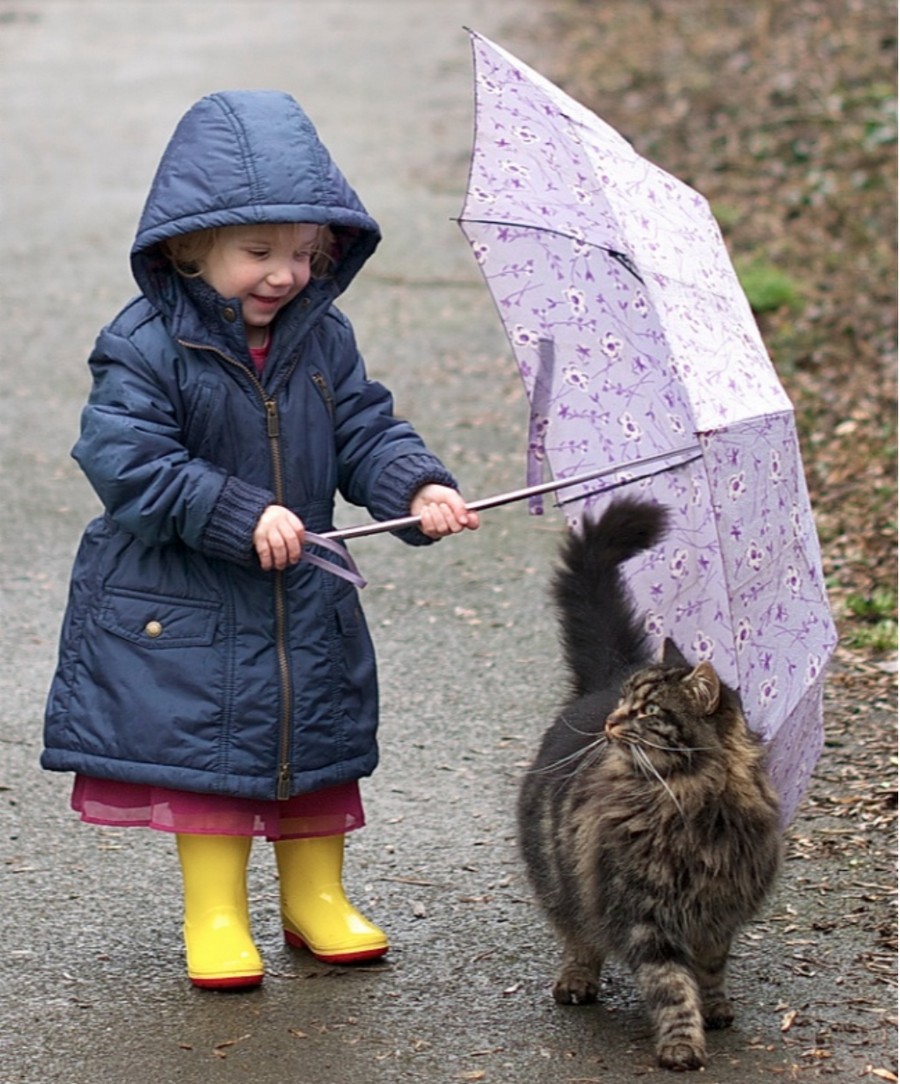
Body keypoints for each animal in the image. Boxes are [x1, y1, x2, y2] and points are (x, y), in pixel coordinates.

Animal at [518, 496, 785, 1066]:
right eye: (627, 703)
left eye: (646, 711)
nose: (611, 722)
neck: (692, 804)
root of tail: (597, 683)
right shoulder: (645, 916)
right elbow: (672, 987)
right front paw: (683, 1044)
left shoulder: (716, 914)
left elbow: (709, 972)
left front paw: (716, 1009)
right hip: (562, 879)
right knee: (578, 934)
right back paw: (577, 981)